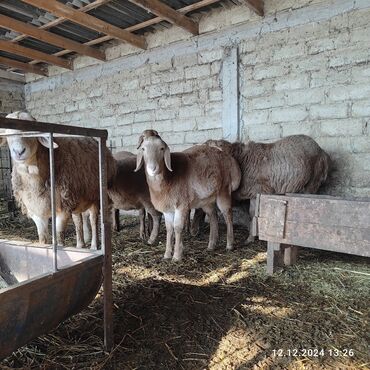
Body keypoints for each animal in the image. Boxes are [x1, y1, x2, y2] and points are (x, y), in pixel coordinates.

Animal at [1, 110, 116, 249]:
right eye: (7, 134)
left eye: (32, 132)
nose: (19, 152)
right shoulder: (36, 212)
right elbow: (42, 239)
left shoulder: (62, 210)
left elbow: (59, 238)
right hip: (75, 197)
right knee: (78, 220)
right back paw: (80, 245)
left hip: (95, 195)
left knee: (93, 219)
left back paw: (94, 245)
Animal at [134, 129, 241, 260]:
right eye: (143, 149)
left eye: (162, 148)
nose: (152, 168)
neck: (168, 178)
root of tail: (230, 159)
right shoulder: (167, 209)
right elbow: (169, 229)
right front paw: (167, 255)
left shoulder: (182, 205)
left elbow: (177, 227)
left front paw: (177, 256)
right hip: (206, 198)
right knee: (213, 215)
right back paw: (211, 245)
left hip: (224, 190)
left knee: (228, 215)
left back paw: (229, 245)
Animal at [201, 135, 330, 243]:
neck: (242, 160)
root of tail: (322, 151)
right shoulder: (253, 194)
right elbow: (252, 214)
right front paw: (251, 237)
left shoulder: (260, 191)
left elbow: (255, 214)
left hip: (313, 182)